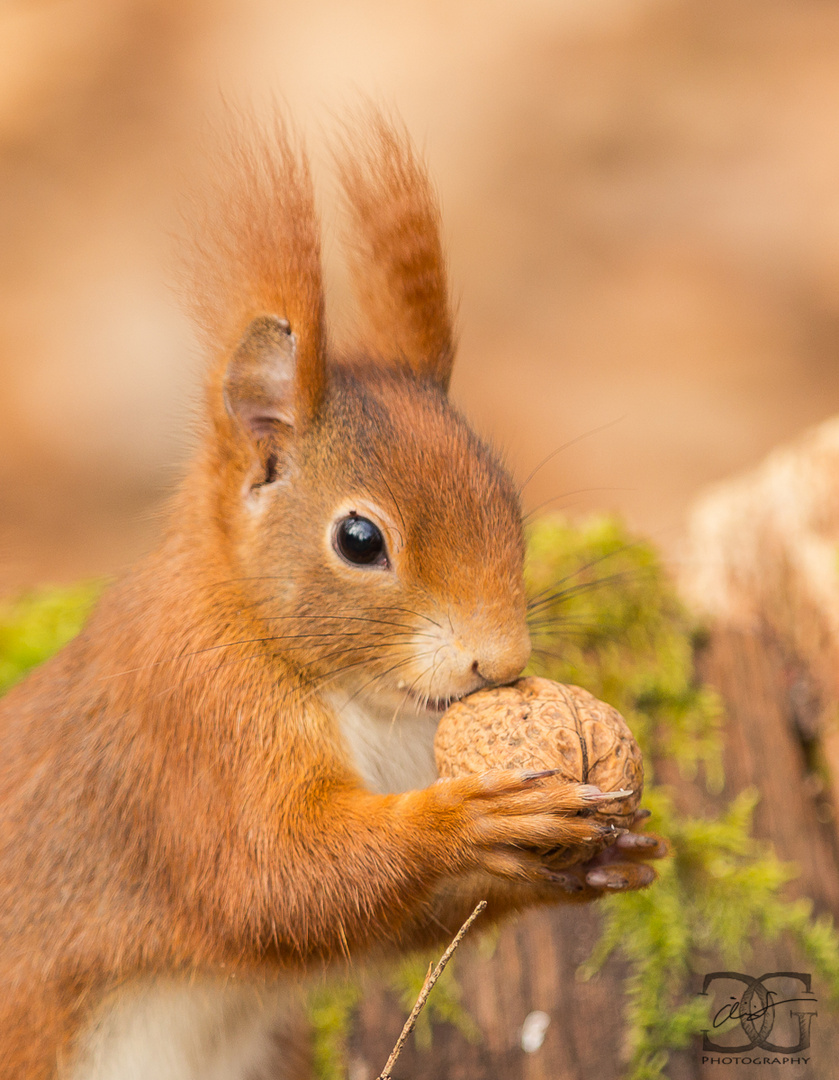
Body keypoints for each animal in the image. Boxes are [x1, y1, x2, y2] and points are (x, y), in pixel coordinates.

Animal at [0, 109, 660, 1080]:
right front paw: (469, 818)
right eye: (359, 541)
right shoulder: (193, 724)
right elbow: (271, 880)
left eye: (506, 498)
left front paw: (592, 858)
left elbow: (367, 925)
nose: (500, 661)